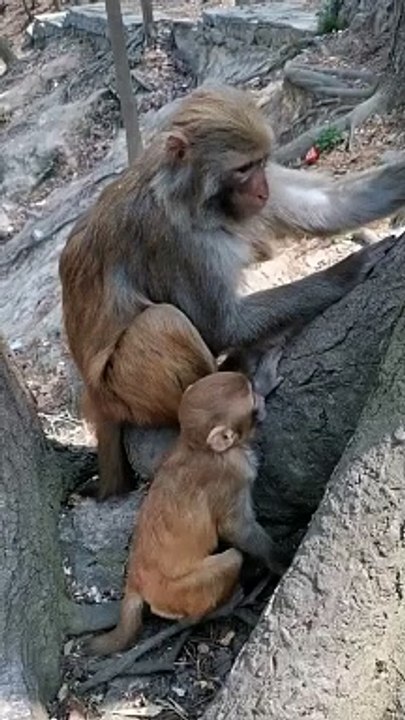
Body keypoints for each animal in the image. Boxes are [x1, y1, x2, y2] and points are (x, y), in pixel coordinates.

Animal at [59, 84, 398, 499]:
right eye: (242, 169)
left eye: (261, 162)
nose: (263, 190)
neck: (188, 197)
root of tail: (94, 400)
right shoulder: (173, 239)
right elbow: (220, 325)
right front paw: (348, 270)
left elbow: (329, 207)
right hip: (122, 393)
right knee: (162, 322)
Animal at [85, 371, 286, 656]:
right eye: (251, 402)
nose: (259, 397)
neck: (197, 447)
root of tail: (135, 582)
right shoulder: (234, 473)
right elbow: (236, 527)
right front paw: (280, 560)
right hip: (176, 592)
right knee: (232, 558)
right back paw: (214, 610)